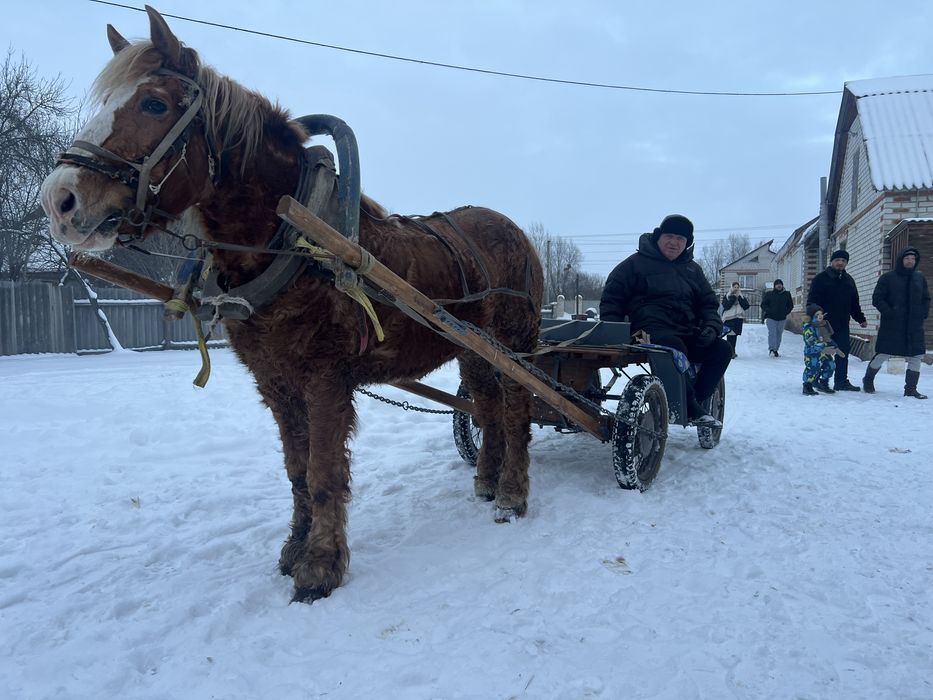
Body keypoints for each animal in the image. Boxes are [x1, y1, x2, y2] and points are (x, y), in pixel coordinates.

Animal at [40, 6, 543, 602]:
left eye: (155, 104)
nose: (58, 199)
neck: (293, 243)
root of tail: (515, 231)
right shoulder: (275, 382)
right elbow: (297, 470)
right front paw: (293, 549)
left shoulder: (325, 379)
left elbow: (324, 473)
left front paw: (321, 566)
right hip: (471, 349)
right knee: (486, 407)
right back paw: (487, 481)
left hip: (514, 344)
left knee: (516, 408)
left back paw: (512, 494)